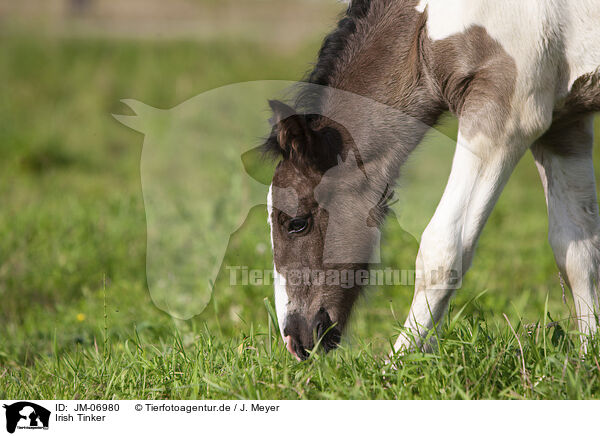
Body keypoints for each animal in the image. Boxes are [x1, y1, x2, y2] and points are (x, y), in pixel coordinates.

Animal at [264, 0, 600, 362]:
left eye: (296, 223)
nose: (294, 339)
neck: (425, 26)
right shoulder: (565, 124)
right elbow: (576, 248)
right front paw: (588, 358)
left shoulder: (509, 115)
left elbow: (442, 248)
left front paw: (398, 363)